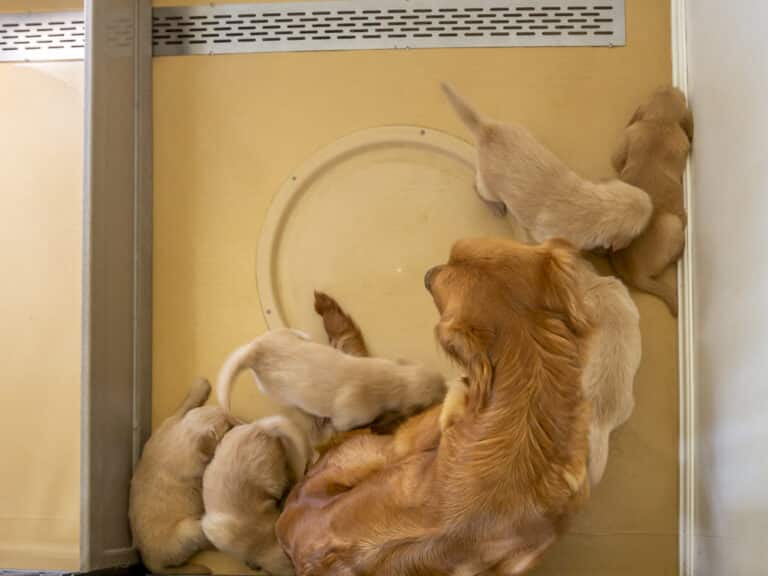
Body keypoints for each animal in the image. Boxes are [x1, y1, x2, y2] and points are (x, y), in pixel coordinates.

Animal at [129, 380, 234, 572]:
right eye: (229, 428)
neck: (179, 442)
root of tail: (149, 562)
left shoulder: (170, 423)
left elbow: (184, 407)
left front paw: (201, 386)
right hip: (187, 532)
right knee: (204, 541)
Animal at [216, 326, 448, 430]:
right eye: (439, 395)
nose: (449, 386)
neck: (392, 379)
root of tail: (256, 350)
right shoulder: (351, 418)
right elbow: (348, 424)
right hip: (278, 393)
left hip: (280, 335)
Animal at [440, 84, 652, 252]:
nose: (652, 204)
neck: (594, 205)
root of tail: (487, 128)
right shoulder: (547, 236)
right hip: (489, 188)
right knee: (477, 188)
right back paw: (495, 206)